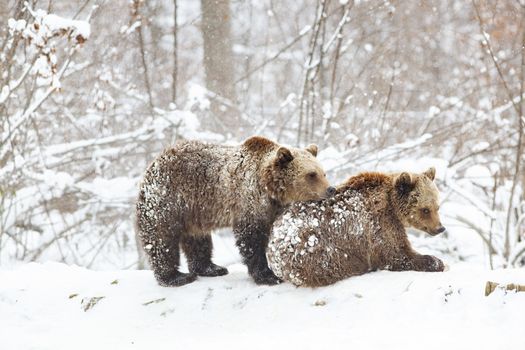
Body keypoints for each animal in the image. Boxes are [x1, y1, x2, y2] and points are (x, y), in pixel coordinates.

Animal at [134, 137, 332, 288]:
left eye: (323, 173)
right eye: (311, 174)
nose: (330, 189)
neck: (270, 188)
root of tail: (153, 164)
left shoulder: (272, 208)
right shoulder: (249, 201)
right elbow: (251, 239)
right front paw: (268, 276)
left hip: (194, 212)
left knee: (198, 240)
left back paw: (212, 268)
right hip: (168, 201)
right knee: (161, 239)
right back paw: (176, 277)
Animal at [268, 167, 444, 288]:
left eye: (437, 207)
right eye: (425, 210)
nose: (440, 228)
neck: (392, 205)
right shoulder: (378, 224)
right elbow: (396, 254)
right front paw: (435, 261)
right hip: (315, 250)